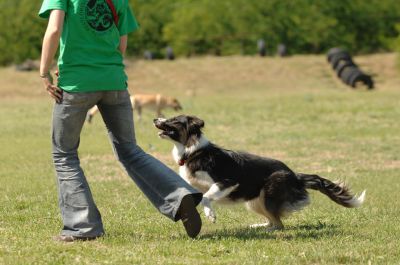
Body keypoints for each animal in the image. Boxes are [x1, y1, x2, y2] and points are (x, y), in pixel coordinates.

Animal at [153, 115, 366, 229]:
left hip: (267, 195)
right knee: (272, 222)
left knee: (279, 225)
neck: (193, 151)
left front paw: (211, 215)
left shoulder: (227, 181)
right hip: (255, 202)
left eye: (174, 120)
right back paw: (257, 227)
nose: (155, 118)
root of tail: (295, 175)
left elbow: (207, 196)